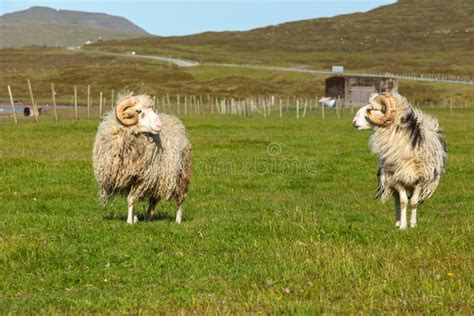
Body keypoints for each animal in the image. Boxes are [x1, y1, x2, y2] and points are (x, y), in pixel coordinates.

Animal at [92, 94, 191, 225]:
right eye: (139, 111)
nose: (159, 126)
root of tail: (175, 120)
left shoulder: (142, 178)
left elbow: (131, 198)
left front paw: (129, 221)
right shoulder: (128, 178)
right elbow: (130, 198)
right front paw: (135, 219)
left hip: (182, 173)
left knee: (180, 198)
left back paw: (178, 220)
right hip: (158, 179)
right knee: (154, 200)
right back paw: (148, 218)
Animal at [352, 91, 448, 230]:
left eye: (374, 108)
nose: (354, 121)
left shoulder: (421, 180)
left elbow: (414, 202)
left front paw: (412, 224)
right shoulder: (396, 179)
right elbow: (402, 202)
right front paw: (403, 225)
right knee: (397, 201)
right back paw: (397, 222)